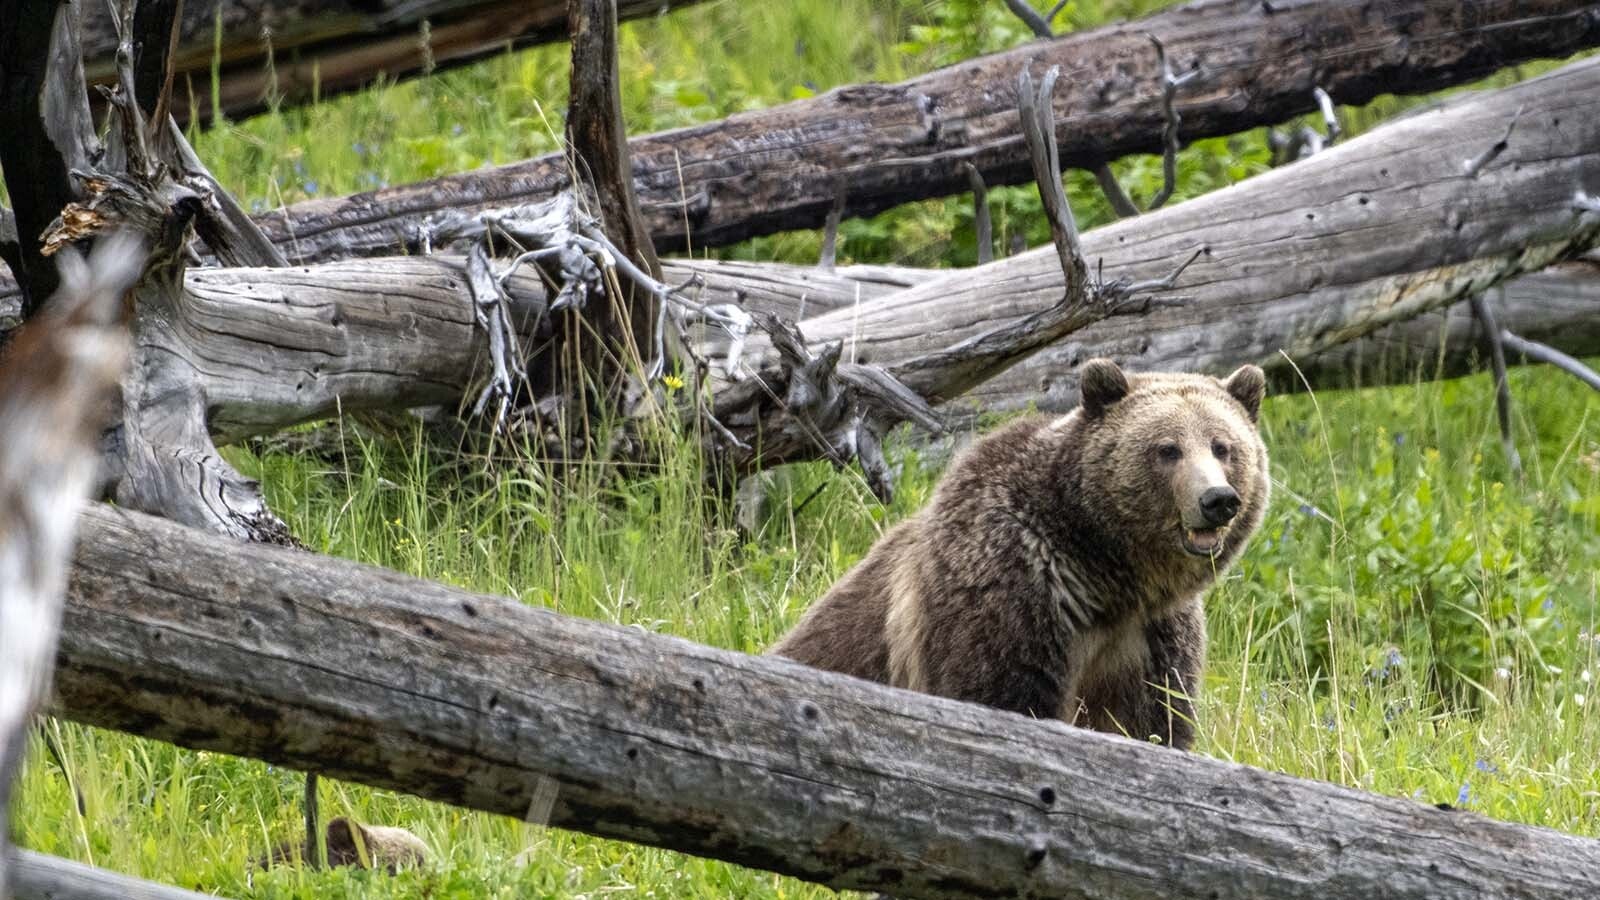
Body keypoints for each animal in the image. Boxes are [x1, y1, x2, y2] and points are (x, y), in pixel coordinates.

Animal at [767, 358, 1269, 750]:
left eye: (1223, 447)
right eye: (1167, 449)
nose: (1217, 499)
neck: (1103, 572)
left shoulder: (1149, 637)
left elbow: (1150, 721)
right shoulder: (1008, 586)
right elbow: (1001, 697)